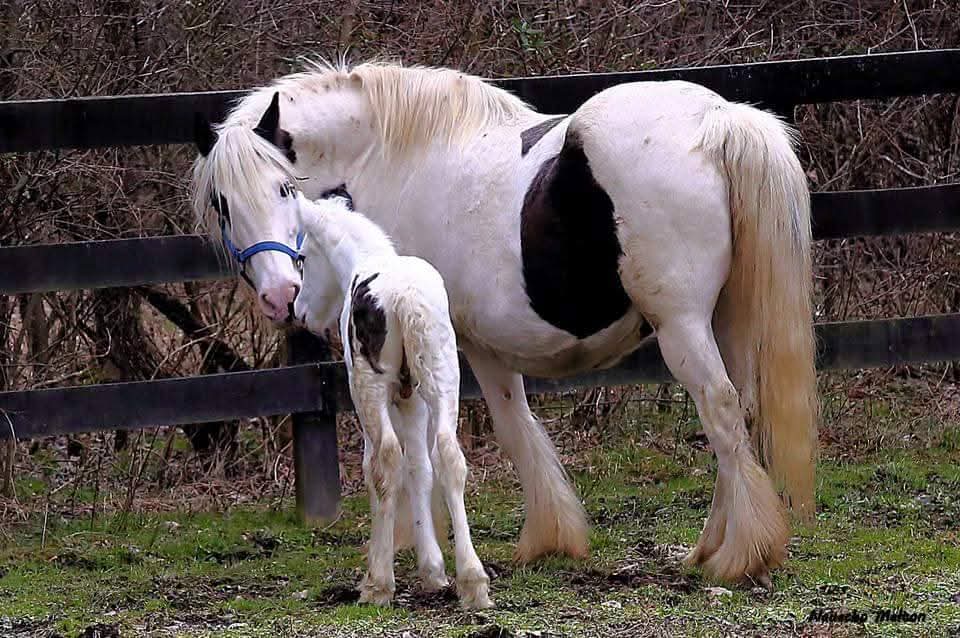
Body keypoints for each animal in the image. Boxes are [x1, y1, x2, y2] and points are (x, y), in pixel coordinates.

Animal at [291, 191, 492, 608]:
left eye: (302, 256)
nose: (298, 312)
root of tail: (403, 297)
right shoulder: (411, 399)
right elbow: (420, 468)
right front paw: (433, 570)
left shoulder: (371, 394)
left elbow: (378, 469)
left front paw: (381, 574)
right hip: (442, 377)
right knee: (449, 456)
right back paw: (473, 581)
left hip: (369, 387)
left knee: (385, 459)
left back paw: (378, 583)